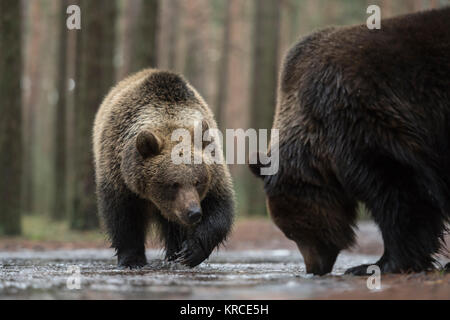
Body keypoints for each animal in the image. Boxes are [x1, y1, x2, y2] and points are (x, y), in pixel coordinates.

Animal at [92, 69, 234, 268]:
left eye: (198, 181)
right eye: (173, 184)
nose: (194, 213)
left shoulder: (214, 172)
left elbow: (219, 210)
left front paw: (190, 252)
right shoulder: (119, 176)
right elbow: (123, 217)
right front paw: (132, 259)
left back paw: (174, 253)